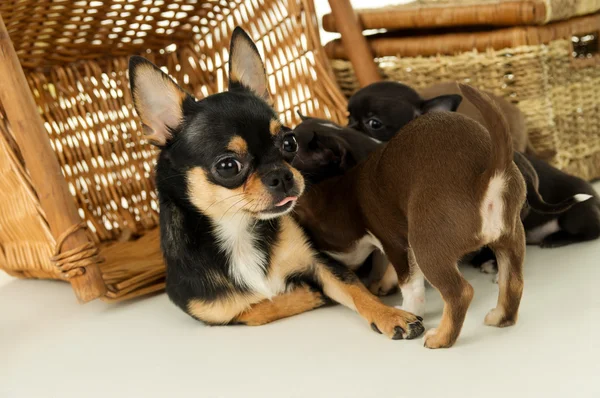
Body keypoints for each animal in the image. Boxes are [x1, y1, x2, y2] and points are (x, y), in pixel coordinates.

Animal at [129, 26, 424, 338]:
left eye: (289, 142)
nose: (281, 175)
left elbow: (355, 290)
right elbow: (257, 308)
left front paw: (390, 314)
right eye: (227, 166)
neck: (238, 231)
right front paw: (306, 293)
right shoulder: (213, 311)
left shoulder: (319, 261)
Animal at [294, 84, 524, 348]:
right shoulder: (403, 246)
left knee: (460, 293)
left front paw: (408, 311)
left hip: (429, 247)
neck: (349, 191)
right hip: (510, 238)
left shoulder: (393, 242)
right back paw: (500, 317)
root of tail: (488, 177)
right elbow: (402, 273)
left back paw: (441, 338)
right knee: (513, 281)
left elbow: (410, 283)